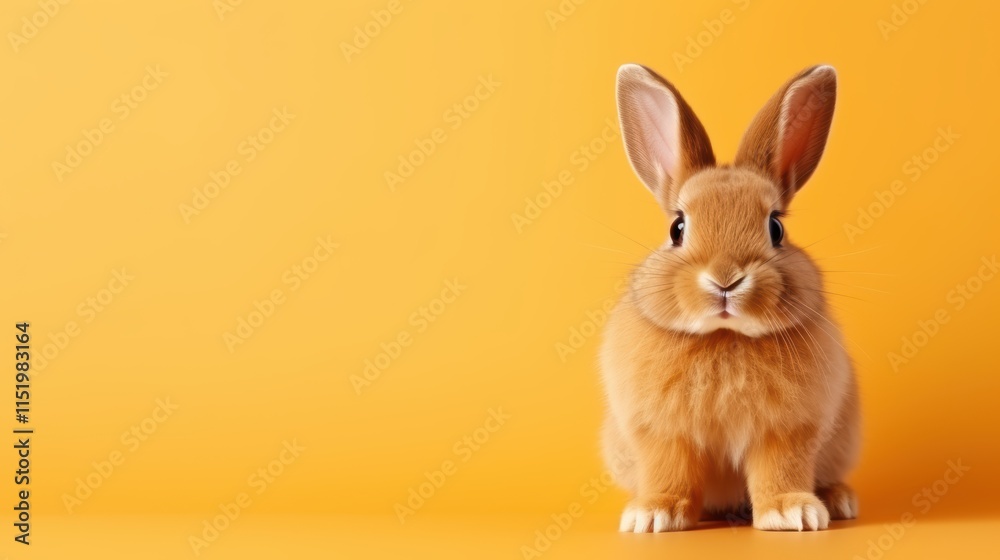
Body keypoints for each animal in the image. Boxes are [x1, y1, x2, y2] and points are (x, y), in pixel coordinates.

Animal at [600, 64, 861, 533]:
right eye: (677, 228)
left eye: (776, 228)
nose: (726, 280)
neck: (725, 336)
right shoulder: (661, 433)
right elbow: (669, 471)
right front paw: (654, 514)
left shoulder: (789, 430)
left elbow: (780, 470)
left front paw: (792, 512)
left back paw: (837, 500)